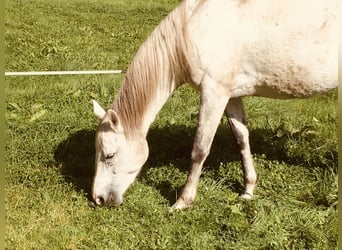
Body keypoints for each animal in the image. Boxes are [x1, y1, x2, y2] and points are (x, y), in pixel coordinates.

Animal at [90, 0, 336, 210]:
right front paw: (248, 190)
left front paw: (183, 201)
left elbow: (200, 149)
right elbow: (241, 139)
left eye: (109, 155)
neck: (196, 28)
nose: (98, 198)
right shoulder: (231, 95)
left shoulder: (213, 93)